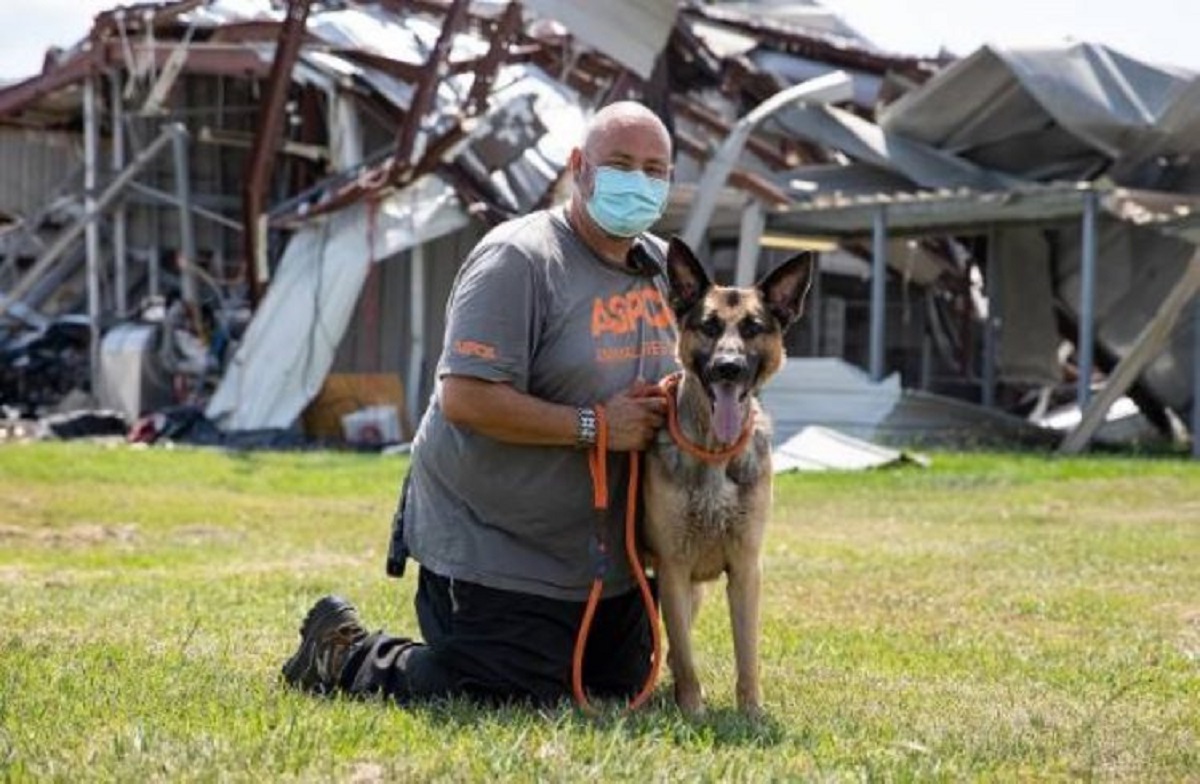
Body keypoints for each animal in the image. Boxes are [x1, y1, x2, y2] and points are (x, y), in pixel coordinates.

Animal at [643, 236, 811, 715]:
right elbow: (685, 656)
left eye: (753, 328)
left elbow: (747, 651)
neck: (715, 452)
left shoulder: (746, 568)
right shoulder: (674, 569)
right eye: (709, 326)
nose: (728, 367)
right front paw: (692, 712)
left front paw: (750, 712)